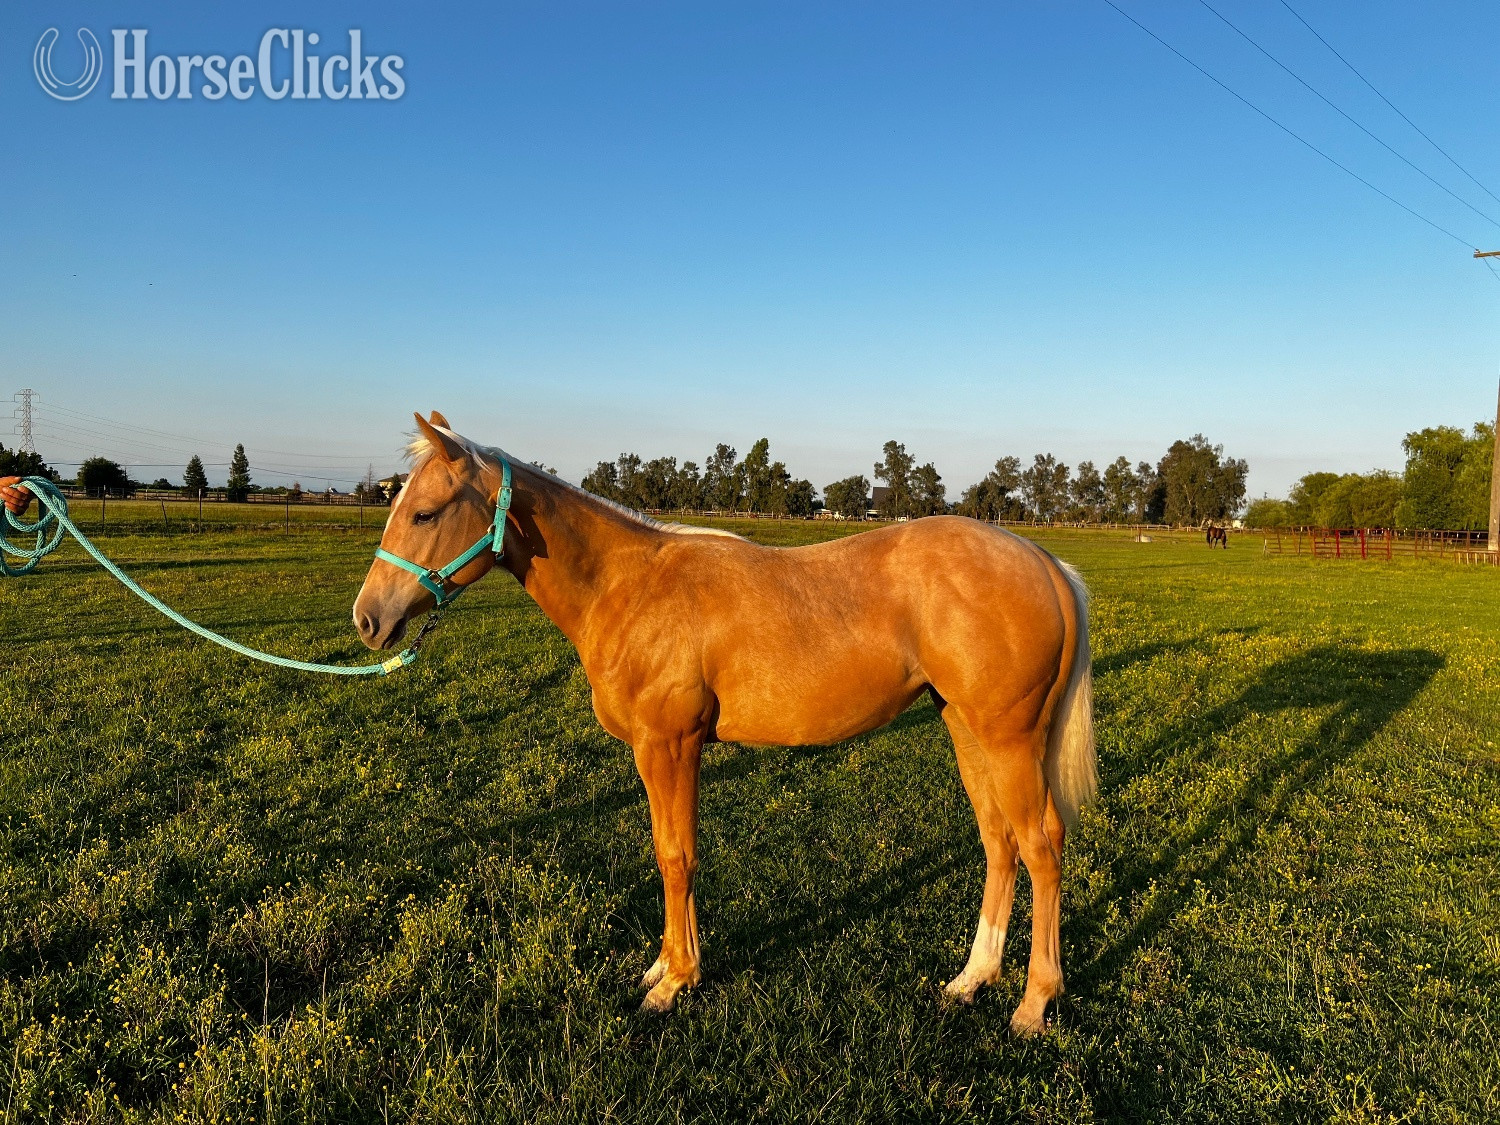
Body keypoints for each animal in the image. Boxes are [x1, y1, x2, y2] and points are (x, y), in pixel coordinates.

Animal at [353, 414, 1097, 1034]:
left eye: (424, 512)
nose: (368, 620)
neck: (628, 587)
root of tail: (1046, 564)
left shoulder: (670, 746)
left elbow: (675, 856)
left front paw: (675, 981)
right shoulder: (658, 752)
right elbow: (667, 853)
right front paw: (664, 965)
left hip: (1007, 740)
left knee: (1040, 847)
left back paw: (1034, 1001)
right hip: (966, 730)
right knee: (999, 842)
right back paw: (973, 978)